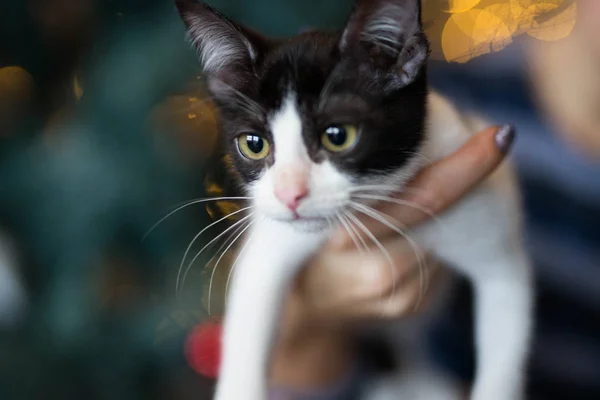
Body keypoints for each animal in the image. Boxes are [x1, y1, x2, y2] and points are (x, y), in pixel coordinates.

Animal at [175, 0, 536, 400]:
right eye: (254, 144)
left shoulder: (486, 205)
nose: (289, 194)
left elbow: (504, 311)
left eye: (338, 136)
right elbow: (254, 304)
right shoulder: (269, 241)